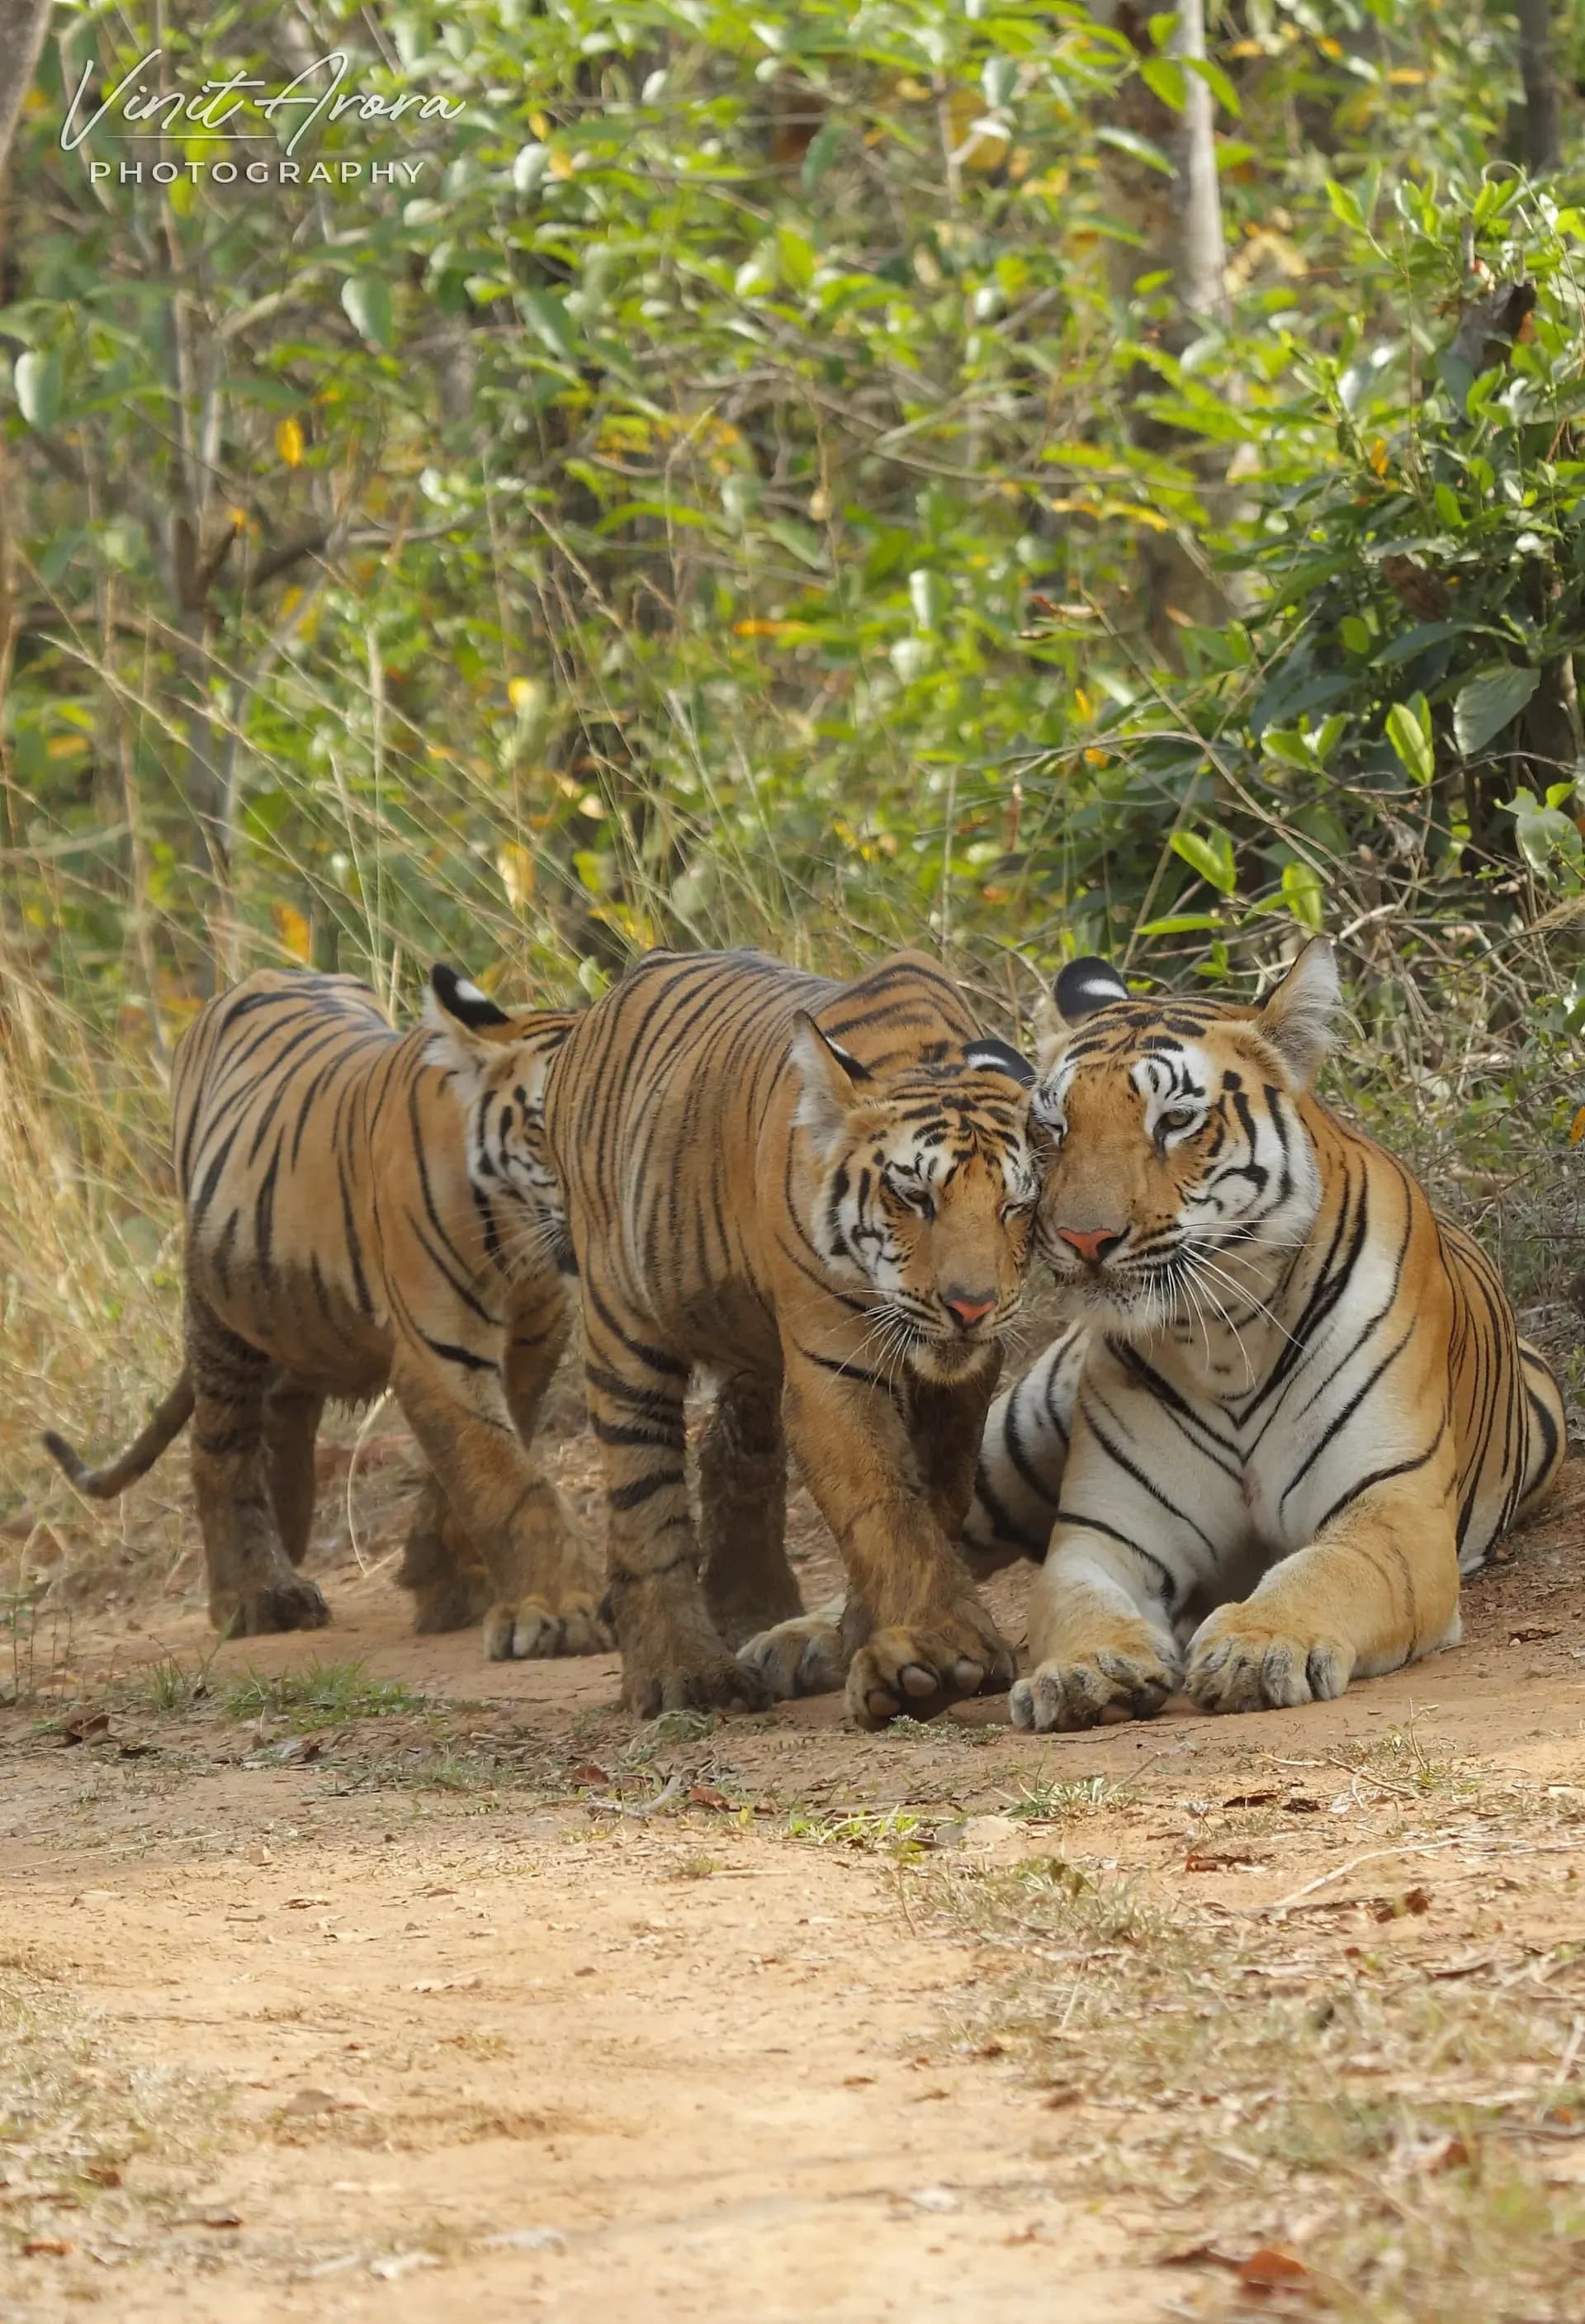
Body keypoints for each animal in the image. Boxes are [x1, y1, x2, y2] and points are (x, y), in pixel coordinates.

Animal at [42, 964, 610, 1659]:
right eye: (541, 1125)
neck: (514, 1234)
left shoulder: (536, 1336)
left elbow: (494, 1455)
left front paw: (445, 1576)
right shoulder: (440, 1349)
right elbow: (504, 1474)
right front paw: (559, 1609)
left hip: (295, 1307)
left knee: (284, 1406)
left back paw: (288, 1530)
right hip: (220, 1306)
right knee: (220, 1446)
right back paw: (257, 1593)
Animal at [539, 946, 1043, 1728]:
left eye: (1016, 1206)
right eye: (915, 1196)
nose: (972, 1306)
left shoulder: (961, 1381)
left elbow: (937, 1495)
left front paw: (879, 1644)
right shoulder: (832, 1364)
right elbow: (884, 1502)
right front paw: (941, 1654)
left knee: (730, 1451)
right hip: (623, 1328)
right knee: (644, 1500)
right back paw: (684, 1674)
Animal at [962, 938, 1567, 1730]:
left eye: (1174, 1121)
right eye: (1052, 1128)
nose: (1083, 1237)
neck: (1224, 1337)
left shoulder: (1392, 1507)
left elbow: (1322, 1572)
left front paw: (1258, 1645)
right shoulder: (1103, 1536)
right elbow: (1078, 1604)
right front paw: (1086, 1670)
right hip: (1005, 1445)